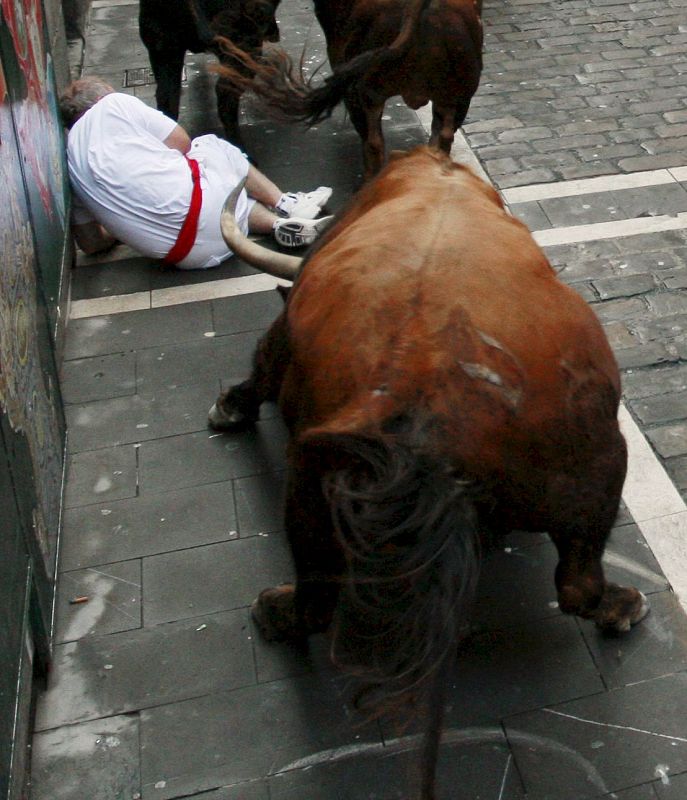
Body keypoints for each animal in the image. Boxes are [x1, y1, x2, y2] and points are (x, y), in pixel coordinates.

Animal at [207, 145, 648, 800]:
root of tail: (423, 386)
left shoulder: (282, 342)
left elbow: (261, 365)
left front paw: (231, 404)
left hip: (309, 477)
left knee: (317, 598)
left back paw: (275, 610)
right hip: (599, 462)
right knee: (577, 583)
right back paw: (623, 605)